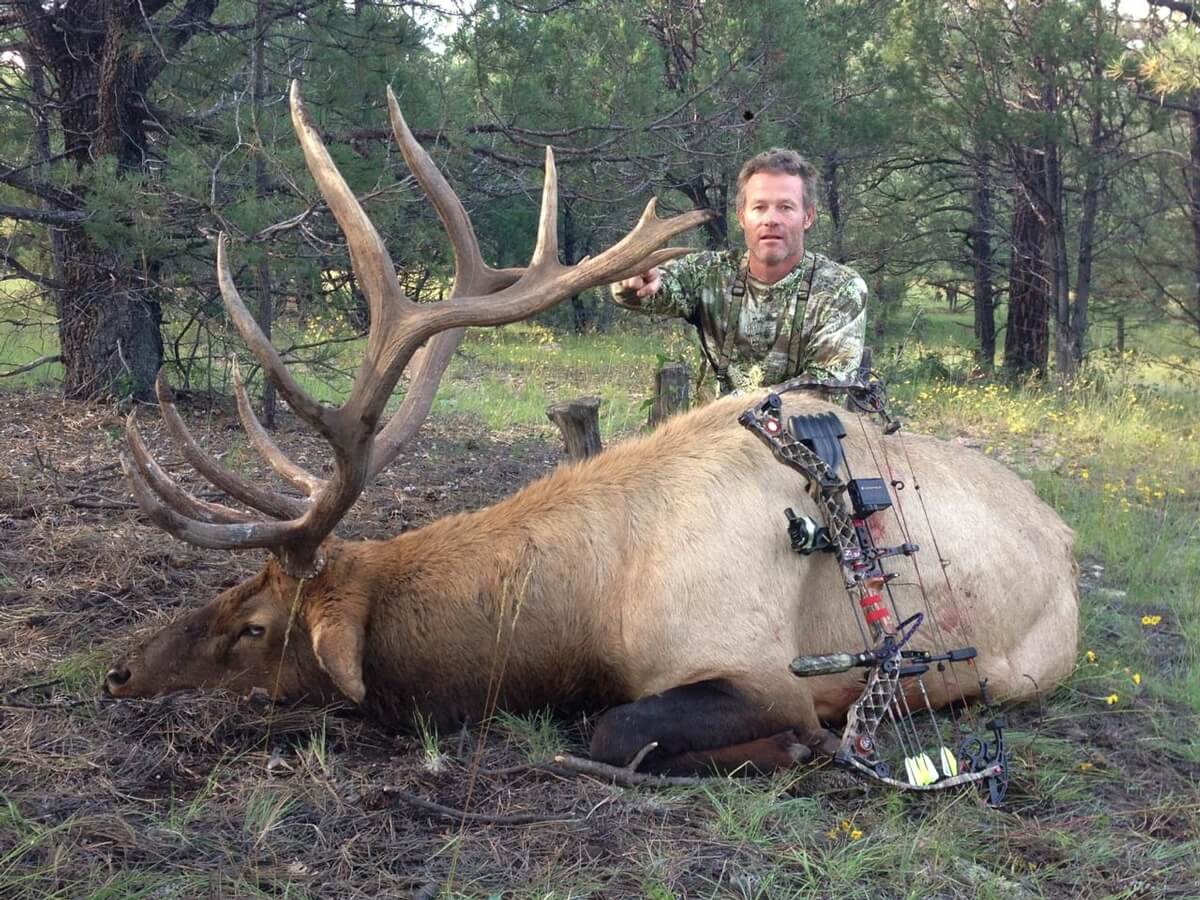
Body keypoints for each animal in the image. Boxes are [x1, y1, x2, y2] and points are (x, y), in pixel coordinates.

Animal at [106, 83, 1079, 778]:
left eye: (256, 626)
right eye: (234, 591)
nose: (120, 669)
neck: (589, 611)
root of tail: (1067, 539)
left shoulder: (765, 672)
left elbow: (617, 729)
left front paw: (791, 749)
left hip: (1022, 668)